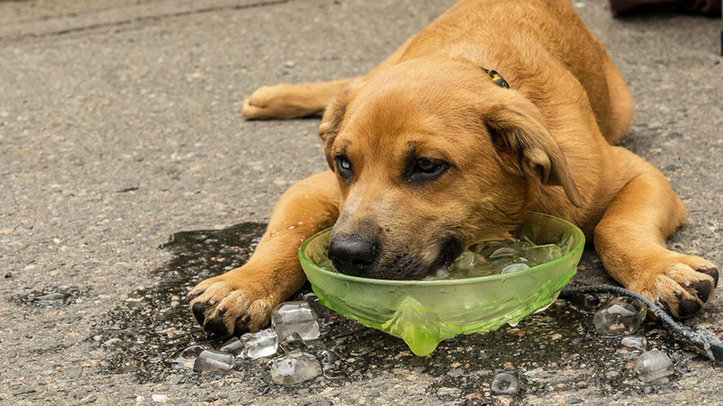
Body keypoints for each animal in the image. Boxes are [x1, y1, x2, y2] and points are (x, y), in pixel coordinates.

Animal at [187, 0, 720, 338]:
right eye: (344, 163)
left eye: (426, 166)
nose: (344, 254)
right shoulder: (312, 189)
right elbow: (283, 237)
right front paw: (243, 285)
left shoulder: (636, 175)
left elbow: (617, 227)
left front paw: (659, 271)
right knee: (350, 83)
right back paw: (273, 97)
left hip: (622, 106)